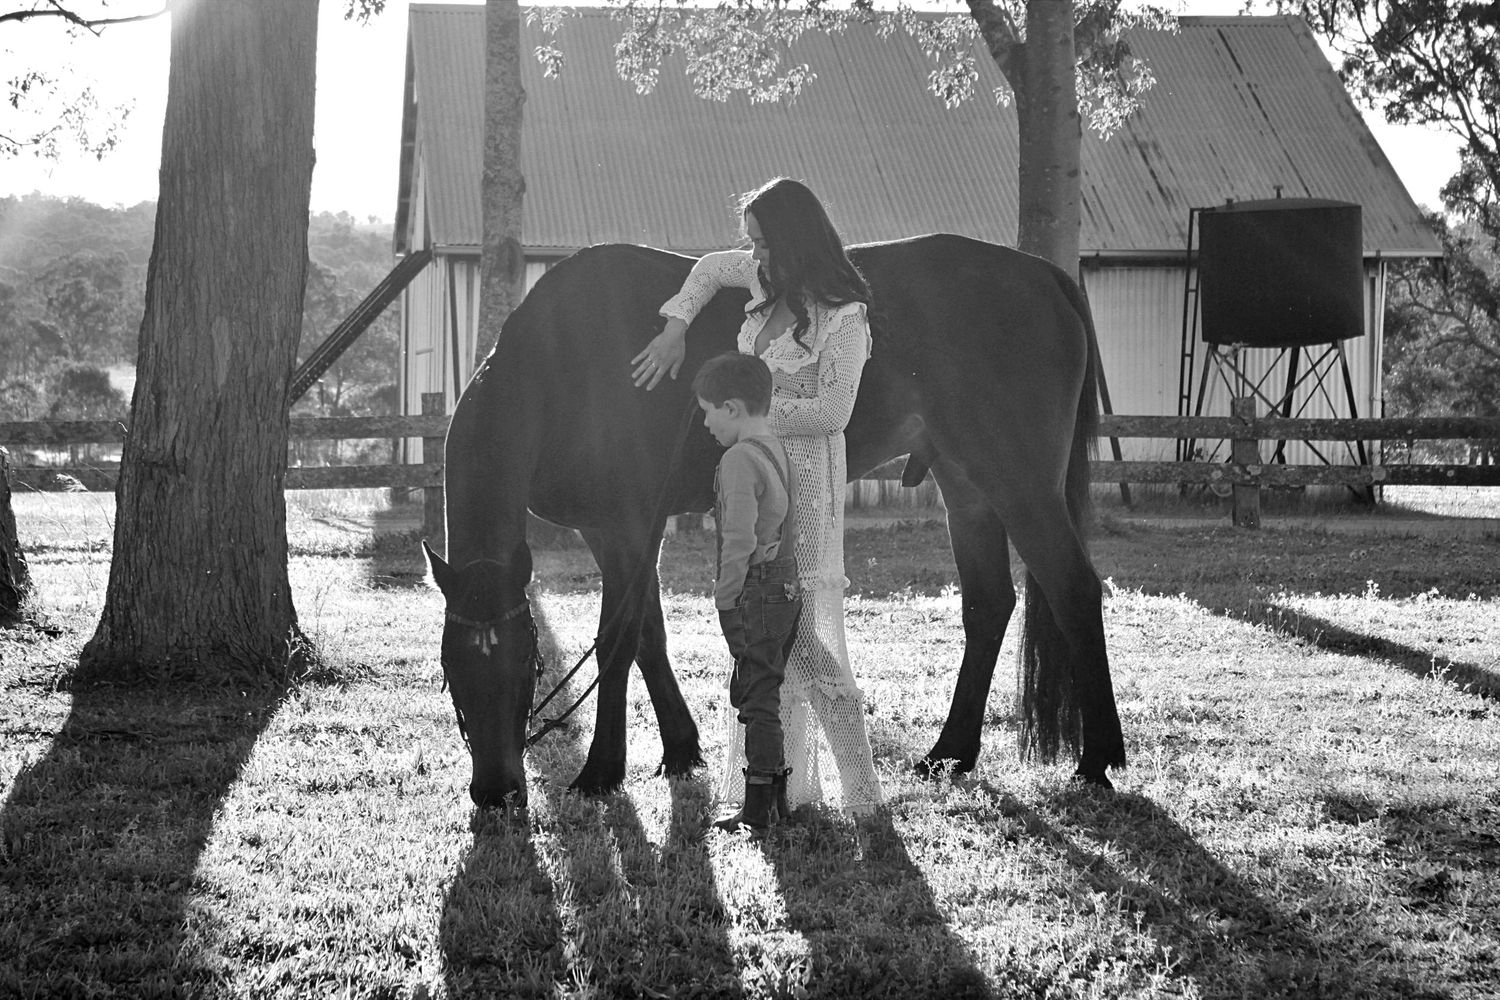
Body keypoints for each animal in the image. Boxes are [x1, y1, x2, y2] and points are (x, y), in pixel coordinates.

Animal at [423, 234, 1126, 808]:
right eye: (451, 670)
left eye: (527, 665)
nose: (495, 791)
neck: (565, 367)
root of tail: (1046, 276)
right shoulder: (609, 534)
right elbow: (649, 635)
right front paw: (681, 749)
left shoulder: (628, 529)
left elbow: (619, 643)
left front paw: (601, 772)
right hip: (967, 486)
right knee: (988, 605)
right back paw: (950, 753)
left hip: (1019, 484)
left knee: (1073, 590)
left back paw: (1096, 762)